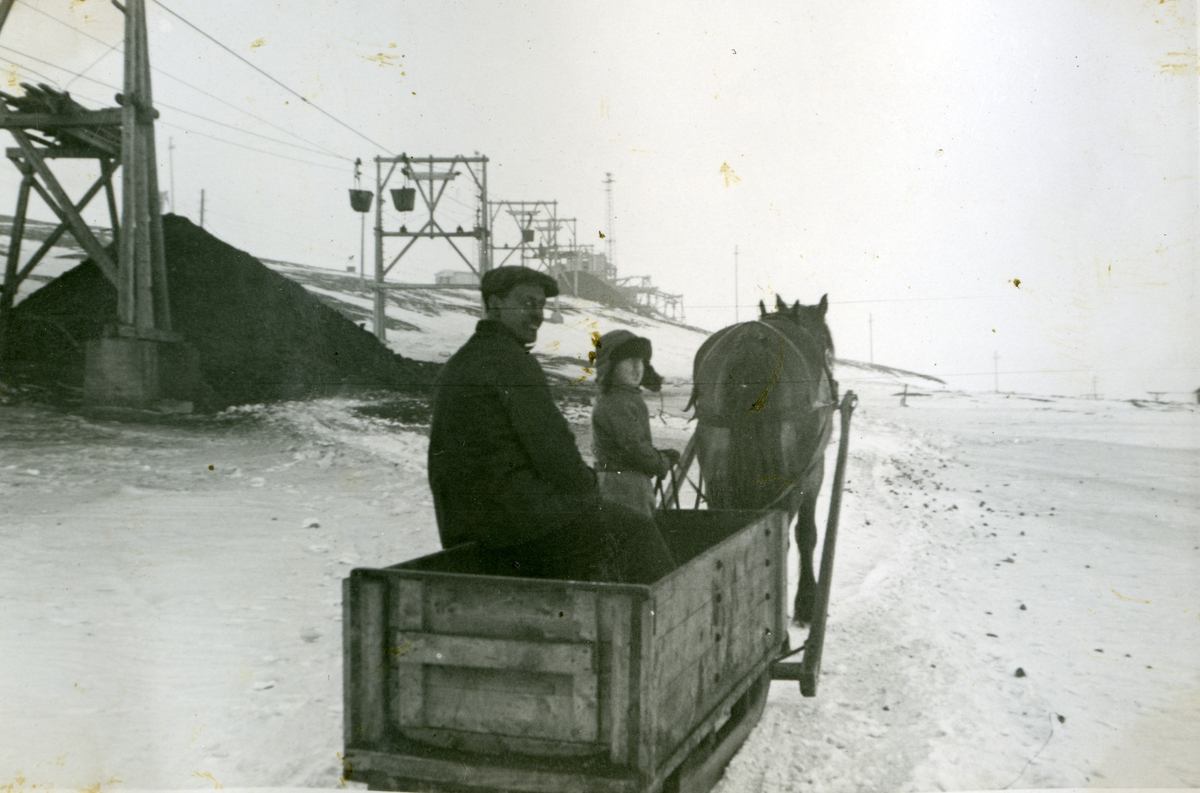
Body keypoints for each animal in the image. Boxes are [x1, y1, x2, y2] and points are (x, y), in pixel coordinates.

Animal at [691, 293, 840, 623]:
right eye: (828, 346)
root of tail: (750, 345)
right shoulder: (815, 472)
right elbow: (807, 535)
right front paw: (806, 602)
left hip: (716, 473)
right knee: (780, 537)